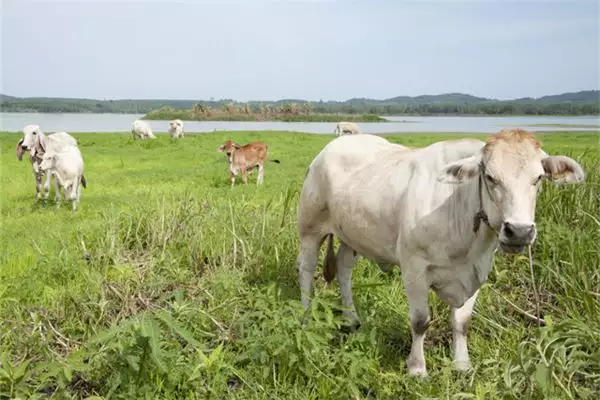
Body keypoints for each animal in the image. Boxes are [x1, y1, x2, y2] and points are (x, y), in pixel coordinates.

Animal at [298, 129, 588, 378]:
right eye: (490, 177)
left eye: (538, 178)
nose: (519, 231)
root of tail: (334, 146)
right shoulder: (414, 268)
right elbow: (420, 321)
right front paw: (417, 369)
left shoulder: (477, 270)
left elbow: (462, 322)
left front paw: (462, 364)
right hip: (310, 228)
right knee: (306, 270)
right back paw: (305, 315)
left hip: (352, 235)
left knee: (344, 269)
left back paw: (352, 318)